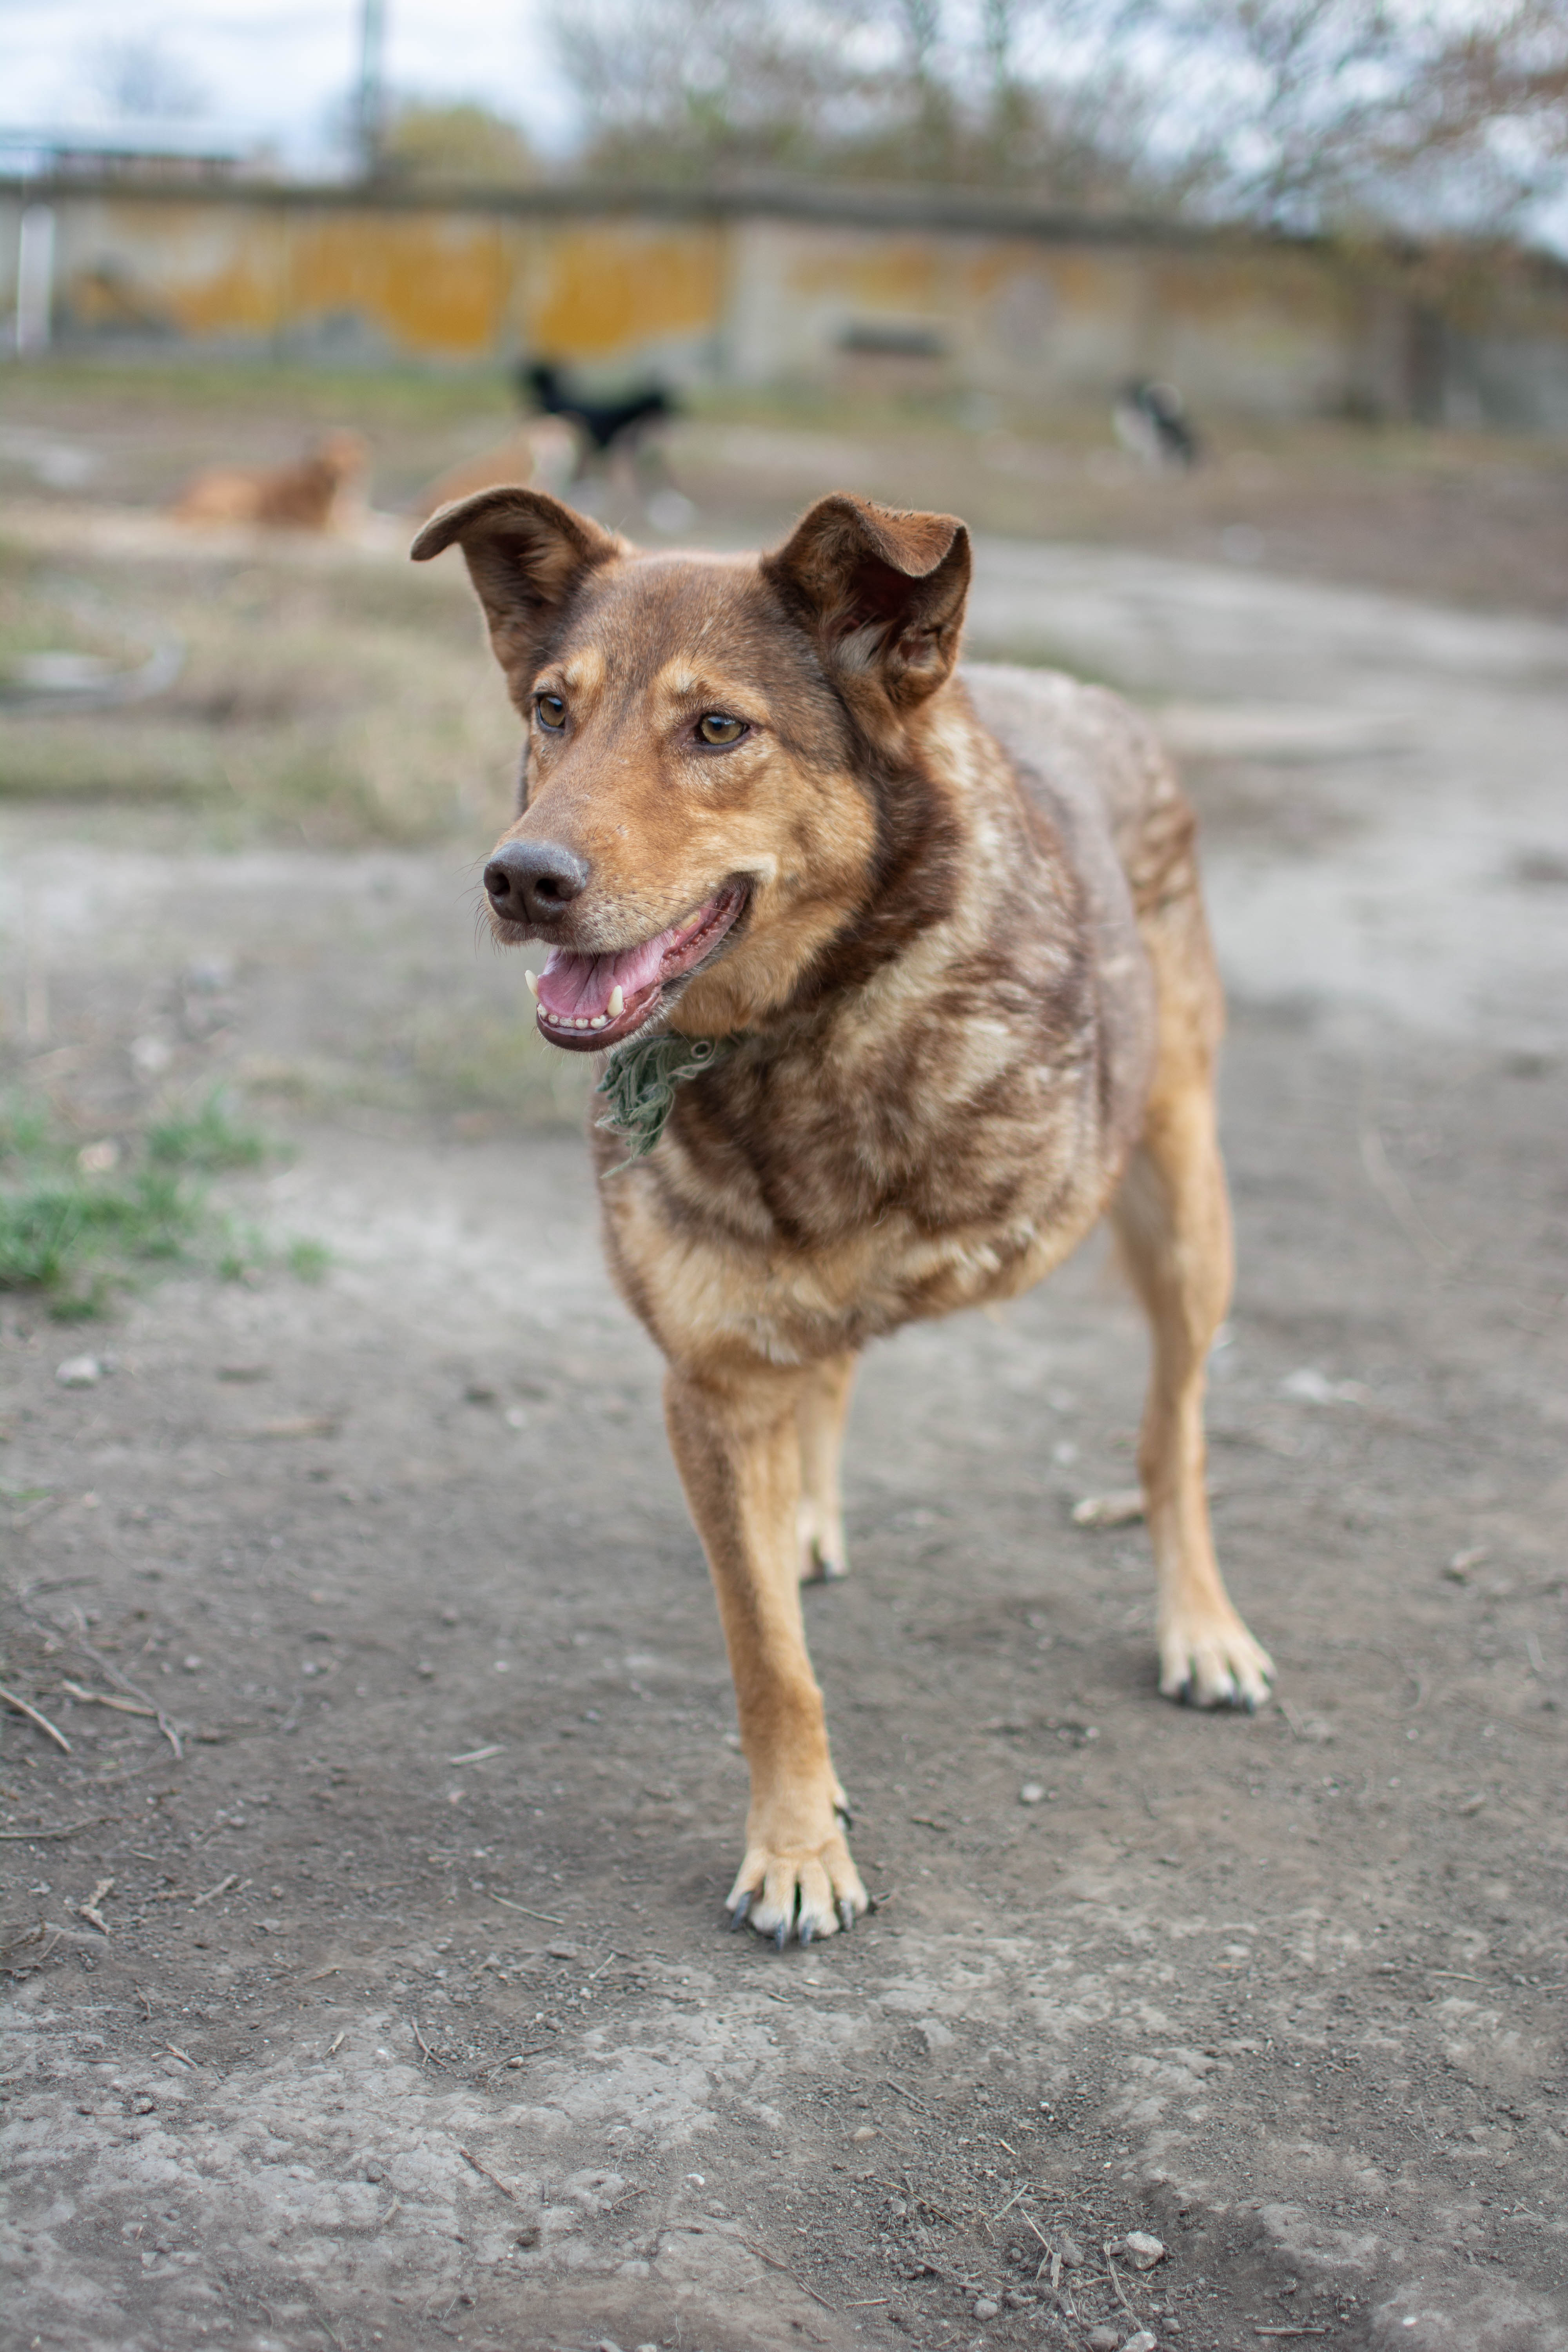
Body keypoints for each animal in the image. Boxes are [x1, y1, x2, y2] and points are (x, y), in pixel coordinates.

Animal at [411, 482, 1269, 1947]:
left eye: (717, 729)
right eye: (552, 710)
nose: (519, 879)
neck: (798, 1029)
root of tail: (1079, 691)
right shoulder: (711, 1379)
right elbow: (769, 1653)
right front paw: (799, 1843)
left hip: (1183, 1207)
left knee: (1174, 1431)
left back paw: (1200, 1624)